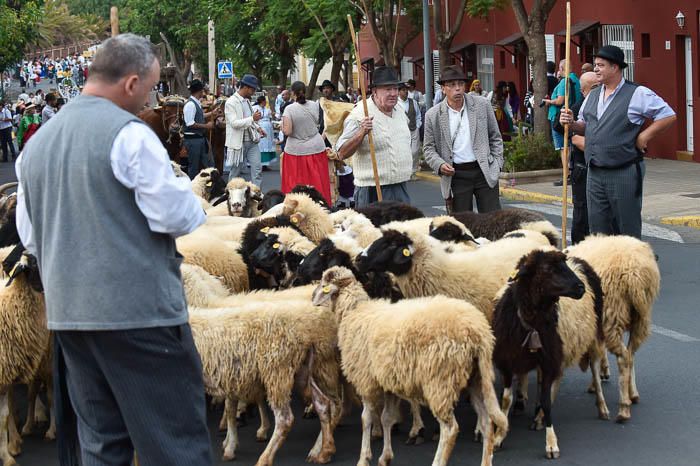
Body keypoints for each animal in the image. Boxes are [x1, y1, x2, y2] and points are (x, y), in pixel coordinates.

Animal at [189, 300, 342, 464]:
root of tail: (309, 332)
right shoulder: (232, 379)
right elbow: (230, 410)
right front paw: (229, 445)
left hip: (277, 371)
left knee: (285, 419)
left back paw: (264, 459)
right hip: (305, 371)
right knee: (323, 404)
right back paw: (323, 451)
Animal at [314, 266, 506, 466]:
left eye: (323, 285)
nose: (314, 302)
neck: (354, 312)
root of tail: (477, 332)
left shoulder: (365, 380)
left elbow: (366, 419)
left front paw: (364, 458)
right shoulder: (387, 382)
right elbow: (386, 418)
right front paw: (385, 457)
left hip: (441, 381)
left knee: (450, 428)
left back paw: (438, 461)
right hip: (476, 379)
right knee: (486, 423)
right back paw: (485, 460)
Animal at [492, 251, 608, 458]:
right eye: (547, 269)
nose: (580, 287)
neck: (531, 324)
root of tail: (579, 259)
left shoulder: (548, 361)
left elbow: (546, 401)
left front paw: (551, 444)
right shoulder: (507, 362)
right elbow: (506, 399)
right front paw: (499, 436)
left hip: (594, 336)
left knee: (595, 371)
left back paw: (602, 407)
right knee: (558, 379)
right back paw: (538, 418)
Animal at [568, 237, 660, 422]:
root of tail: (634, 275)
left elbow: (594, 361)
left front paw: (597, 390)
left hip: (612, 314)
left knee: (623, 357)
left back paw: (623, 409)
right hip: (640, 318)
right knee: (630, 354)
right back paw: (632, 394)